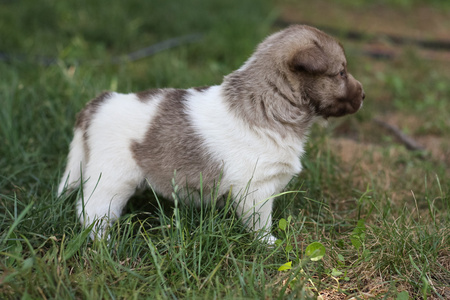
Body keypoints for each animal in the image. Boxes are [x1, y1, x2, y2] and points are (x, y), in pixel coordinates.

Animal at [57, 24, 366, 243]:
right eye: (341, 73)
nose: (364, 95)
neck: (270, 102)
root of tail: (97, 103)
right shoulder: (256, 190)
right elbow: (261, 223)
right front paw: (269, 244)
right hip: (112, 179)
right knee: (91, 211)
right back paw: (103, 242)